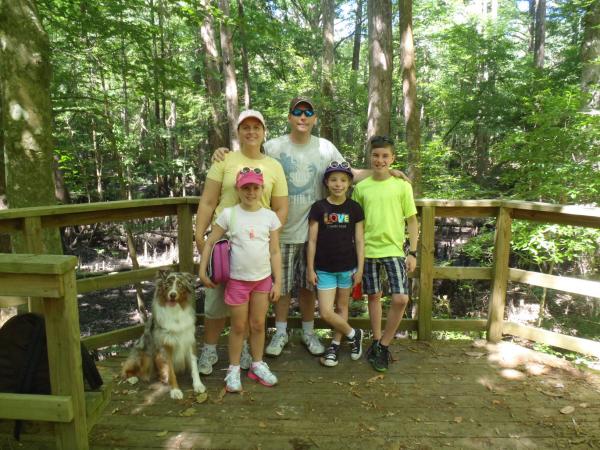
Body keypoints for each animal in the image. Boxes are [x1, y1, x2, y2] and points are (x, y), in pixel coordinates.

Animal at [122, 268, 206, 400]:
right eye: (167, 285)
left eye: (180, 285)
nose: (172, 295)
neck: (175, 312)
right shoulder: (165, 346)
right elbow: (170, 371)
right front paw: (175, 390)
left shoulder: (188, 340)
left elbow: (194, 366)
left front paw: (198, 384)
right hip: (144, 354)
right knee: (127, 369)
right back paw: (132, 378)